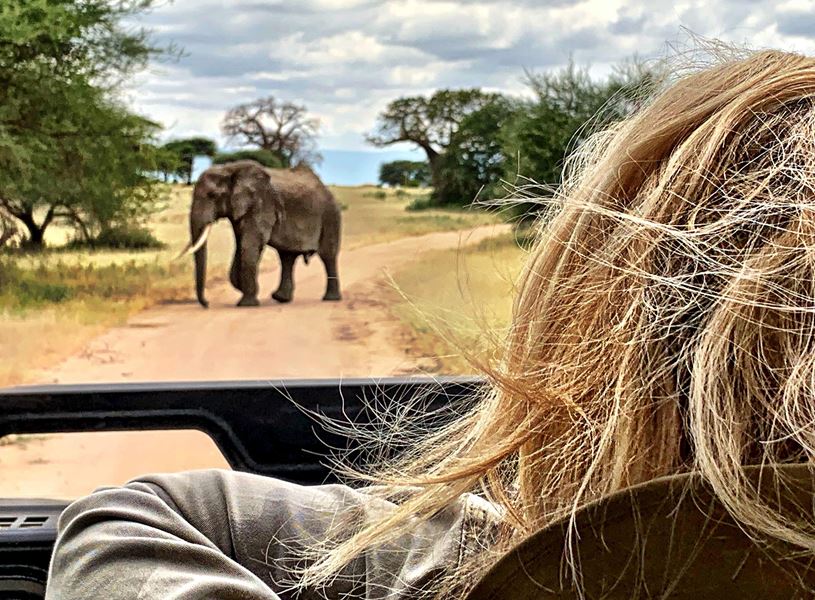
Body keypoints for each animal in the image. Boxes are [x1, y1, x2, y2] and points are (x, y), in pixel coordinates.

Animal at [180, 160, 341, 308]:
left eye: (212, 195)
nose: (207, 304)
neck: (229, 169)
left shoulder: (262, 204)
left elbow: (250, 245)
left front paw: (247, 304)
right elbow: (241, 245)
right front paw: (244, 288)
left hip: (330, 215)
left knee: (328, 255)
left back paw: (330, 299)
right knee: (287, 257)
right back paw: (280, 298)